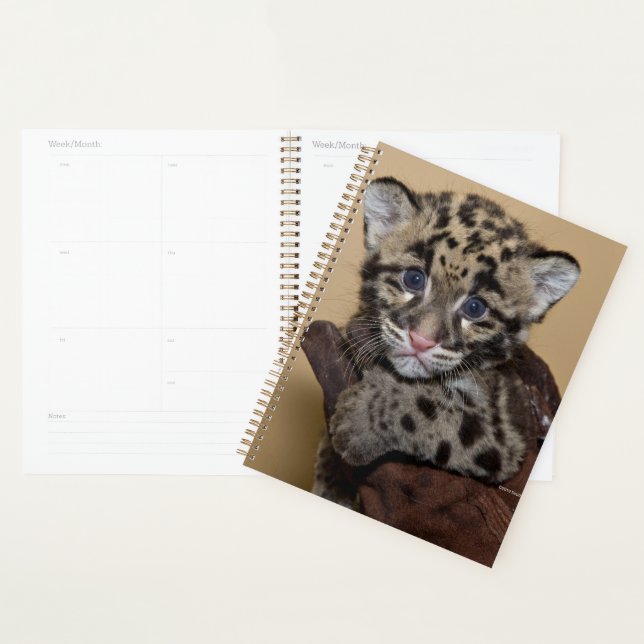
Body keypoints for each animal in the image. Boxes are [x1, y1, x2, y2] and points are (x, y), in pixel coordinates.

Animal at [312, 176, 580, 507]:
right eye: (413, 279)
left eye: (475, 308)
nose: (421, 340)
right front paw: (330, 482)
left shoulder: (505, 429)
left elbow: (430, 410)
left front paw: (358, 421)